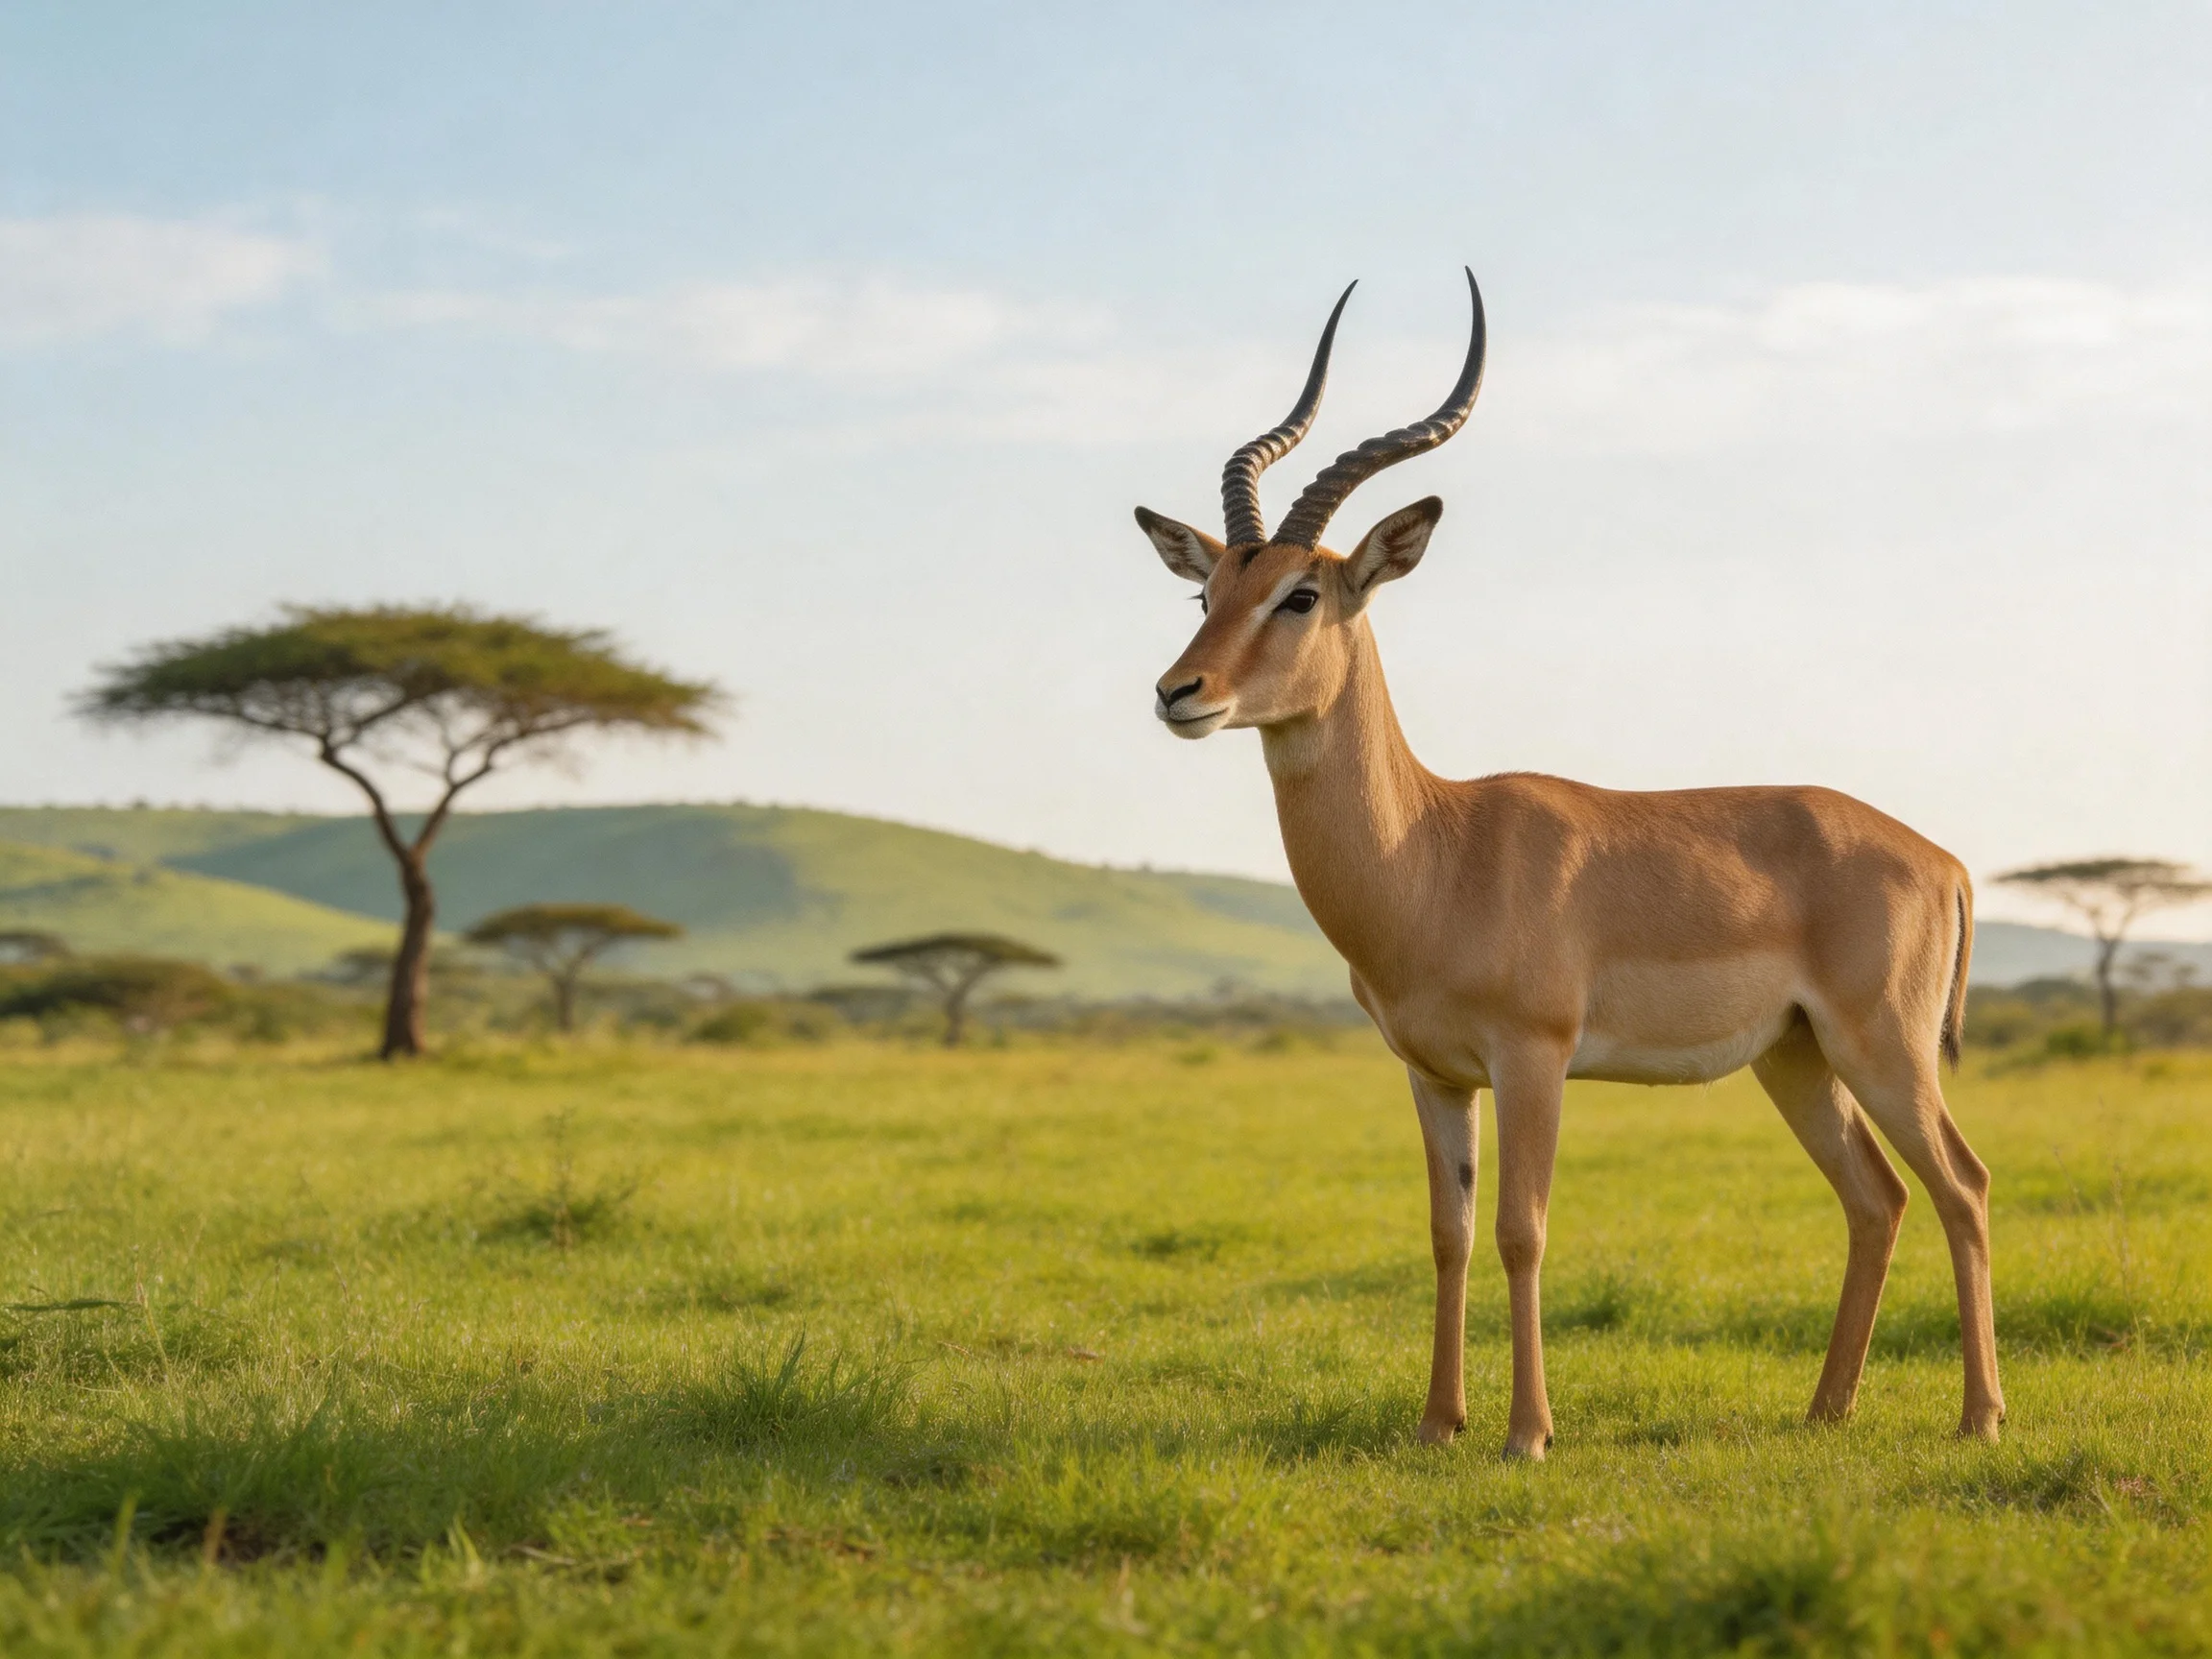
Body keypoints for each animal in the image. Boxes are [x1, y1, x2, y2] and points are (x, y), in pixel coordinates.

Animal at [1135, 271, 2001, 1457]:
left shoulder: (1533, 1058)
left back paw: (1981, 1419)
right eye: (1205, 592)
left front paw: (1526, 1434)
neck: (1436, 853)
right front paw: (1437, 1423)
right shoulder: (1435, 1073)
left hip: (1886, 1048)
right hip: (1798, 1058)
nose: (1180, 693)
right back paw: (1827, 1411)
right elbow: (1448, 1233)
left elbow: (1522, 1229)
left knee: (1963, 1184)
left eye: (1300, 595)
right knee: (1879, 1198)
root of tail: (1942, 856)